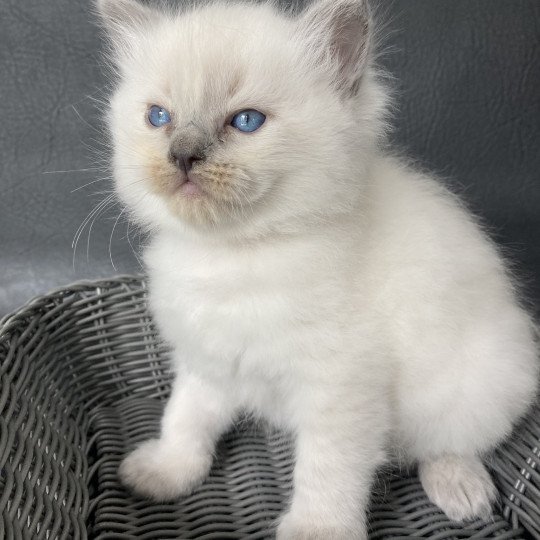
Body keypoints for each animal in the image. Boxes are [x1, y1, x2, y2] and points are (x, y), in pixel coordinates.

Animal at [96, 1, 536, 540]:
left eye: (246, 121)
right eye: (159, 117)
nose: (181, 155)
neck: (233, 252)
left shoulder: (340, 389)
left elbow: (328, 470)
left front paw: (316, 529)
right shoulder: (208, 361)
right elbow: (185, 418)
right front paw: (166, 471)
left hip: (479, 386)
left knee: (453, 444)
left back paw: (460, 491)